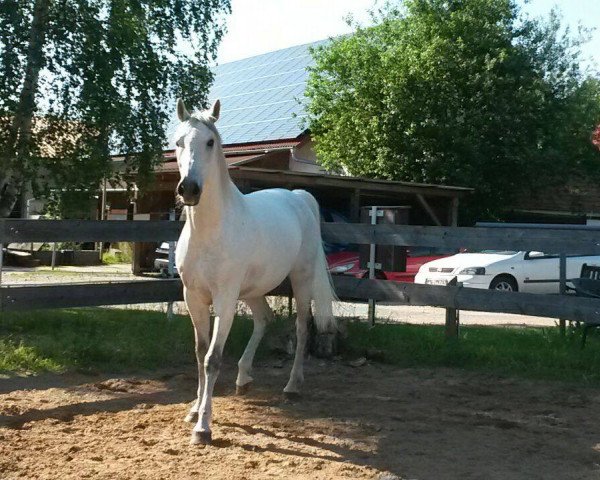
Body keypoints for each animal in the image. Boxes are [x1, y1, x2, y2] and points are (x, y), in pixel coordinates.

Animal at [173, 98, 338, 446]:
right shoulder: (193, 297)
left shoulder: (224, 300)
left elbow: (212, 358)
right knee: (264, 319)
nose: (189, 189)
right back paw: (244, 378)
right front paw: (194, 410)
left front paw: (203, 428)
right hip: (252, 291)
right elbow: (199, 353)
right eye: (178, 142)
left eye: (210, 142)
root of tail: (299, 197)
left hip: (300, 282)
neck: (209, 231)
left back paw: (292, 386)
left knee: (302, 329)